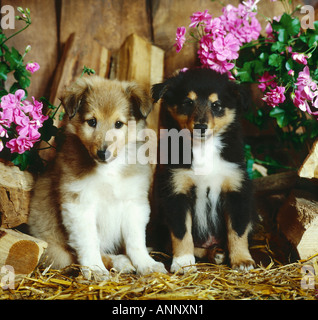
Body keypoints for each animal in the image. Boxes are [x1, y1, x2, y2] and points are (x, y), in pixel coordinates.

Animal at [28, 76, 166, 278]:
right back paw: (119, 261)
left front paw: (147, 264)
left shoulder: (134, 202)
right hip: (55, 251)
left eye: (118, 124)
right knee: (76, 255)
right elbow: (89, 242)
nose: (103, 153)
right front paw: (95, 269)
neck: (108, 170)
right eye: (92, 122)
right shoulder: (79, 203)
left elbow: (136, 240)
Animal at [150, 67, 258, 272]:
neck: (203, 149)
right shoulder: (177, 192)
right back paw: (214, 253)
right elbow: (182, 232)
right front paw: (183, 262)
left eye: (216, 105)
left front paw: (242, 260)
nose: (201, 126)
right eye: (187, 102)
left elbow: (237, 230)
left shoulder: (236, 190)